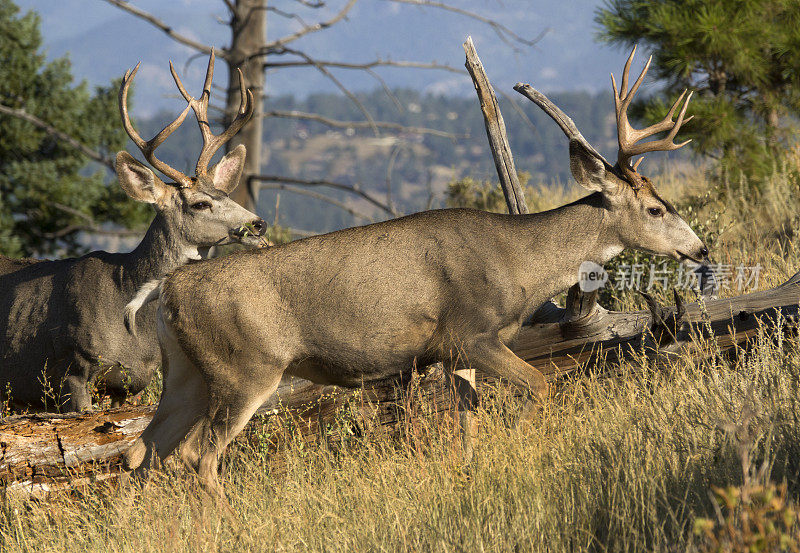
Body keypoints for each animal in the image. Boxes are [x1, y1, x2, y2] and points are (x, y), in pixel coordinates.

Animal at [125, 47, 708, 496]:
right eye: (655, 209)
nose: (701, 249)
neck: (519, 261)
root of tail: (171, 286)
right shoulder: (470, 332)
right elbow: (540, 387)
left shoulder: (452, 353)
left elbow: (468, 421)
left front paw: (470, 473)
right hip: (245, 368)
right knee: (196, 455)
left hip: (186, 373)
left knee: (143, 451)